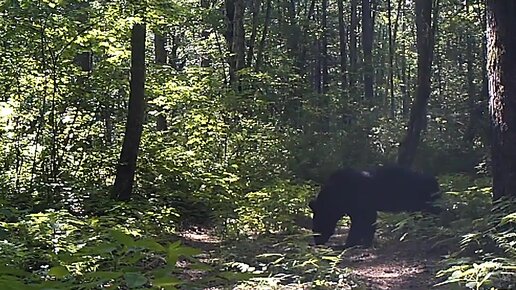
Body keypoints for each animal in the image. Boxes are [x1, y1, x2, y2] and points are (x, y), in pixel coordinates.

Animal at [310, 167, 440, 248]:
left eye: (317, 228)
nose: (318, 242)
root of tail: (435, 182)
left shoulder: (363, 209)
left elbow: (359, 228)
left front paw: (349, 244)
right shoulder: (359, 210)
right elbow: (368, 227)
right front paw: (365, 243)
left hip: (426, 204)